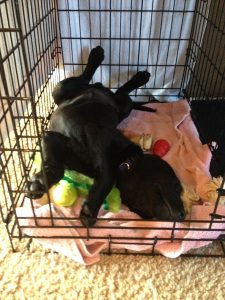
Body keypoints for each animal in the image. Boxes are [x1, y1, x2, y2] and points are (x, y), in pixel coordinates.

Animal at [28, 46, 156, 225]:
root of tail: (102, 89)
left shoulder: (105, 169)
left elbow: (103, 184)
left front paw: (89, 211)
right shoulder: (52, 137)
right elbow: (55, 167)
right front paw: (40, 184)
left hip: (124, 106)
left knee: (118, 91)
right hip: (60, 89)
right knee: (86, 78)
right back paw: (98, 57)